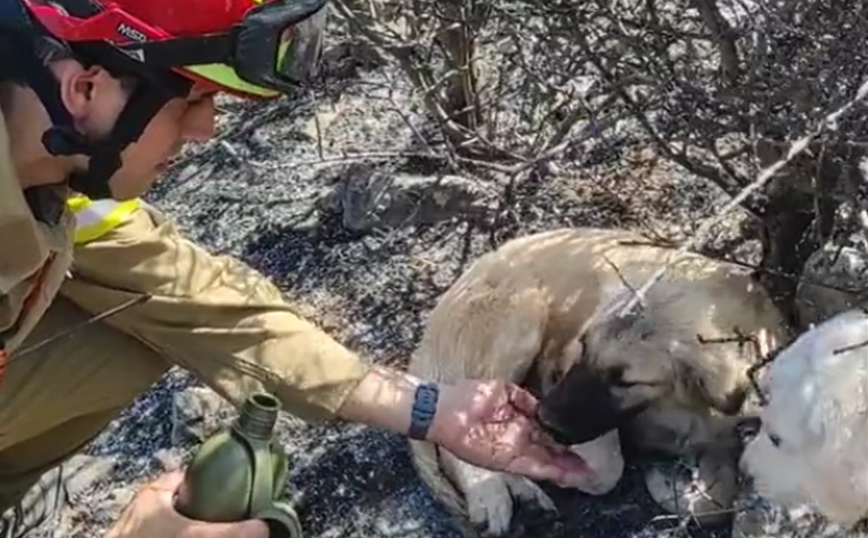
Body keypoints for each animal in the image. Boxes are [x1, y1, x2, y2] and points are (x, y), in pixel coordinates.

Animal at [406, 225, 792, 532]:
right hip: (523, 318)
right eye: (583, 346)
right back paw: (490, 494)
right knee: (461, 427)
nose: (544, 419)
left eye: (626, 381)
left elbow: (719, 503)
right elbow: (609, 469)